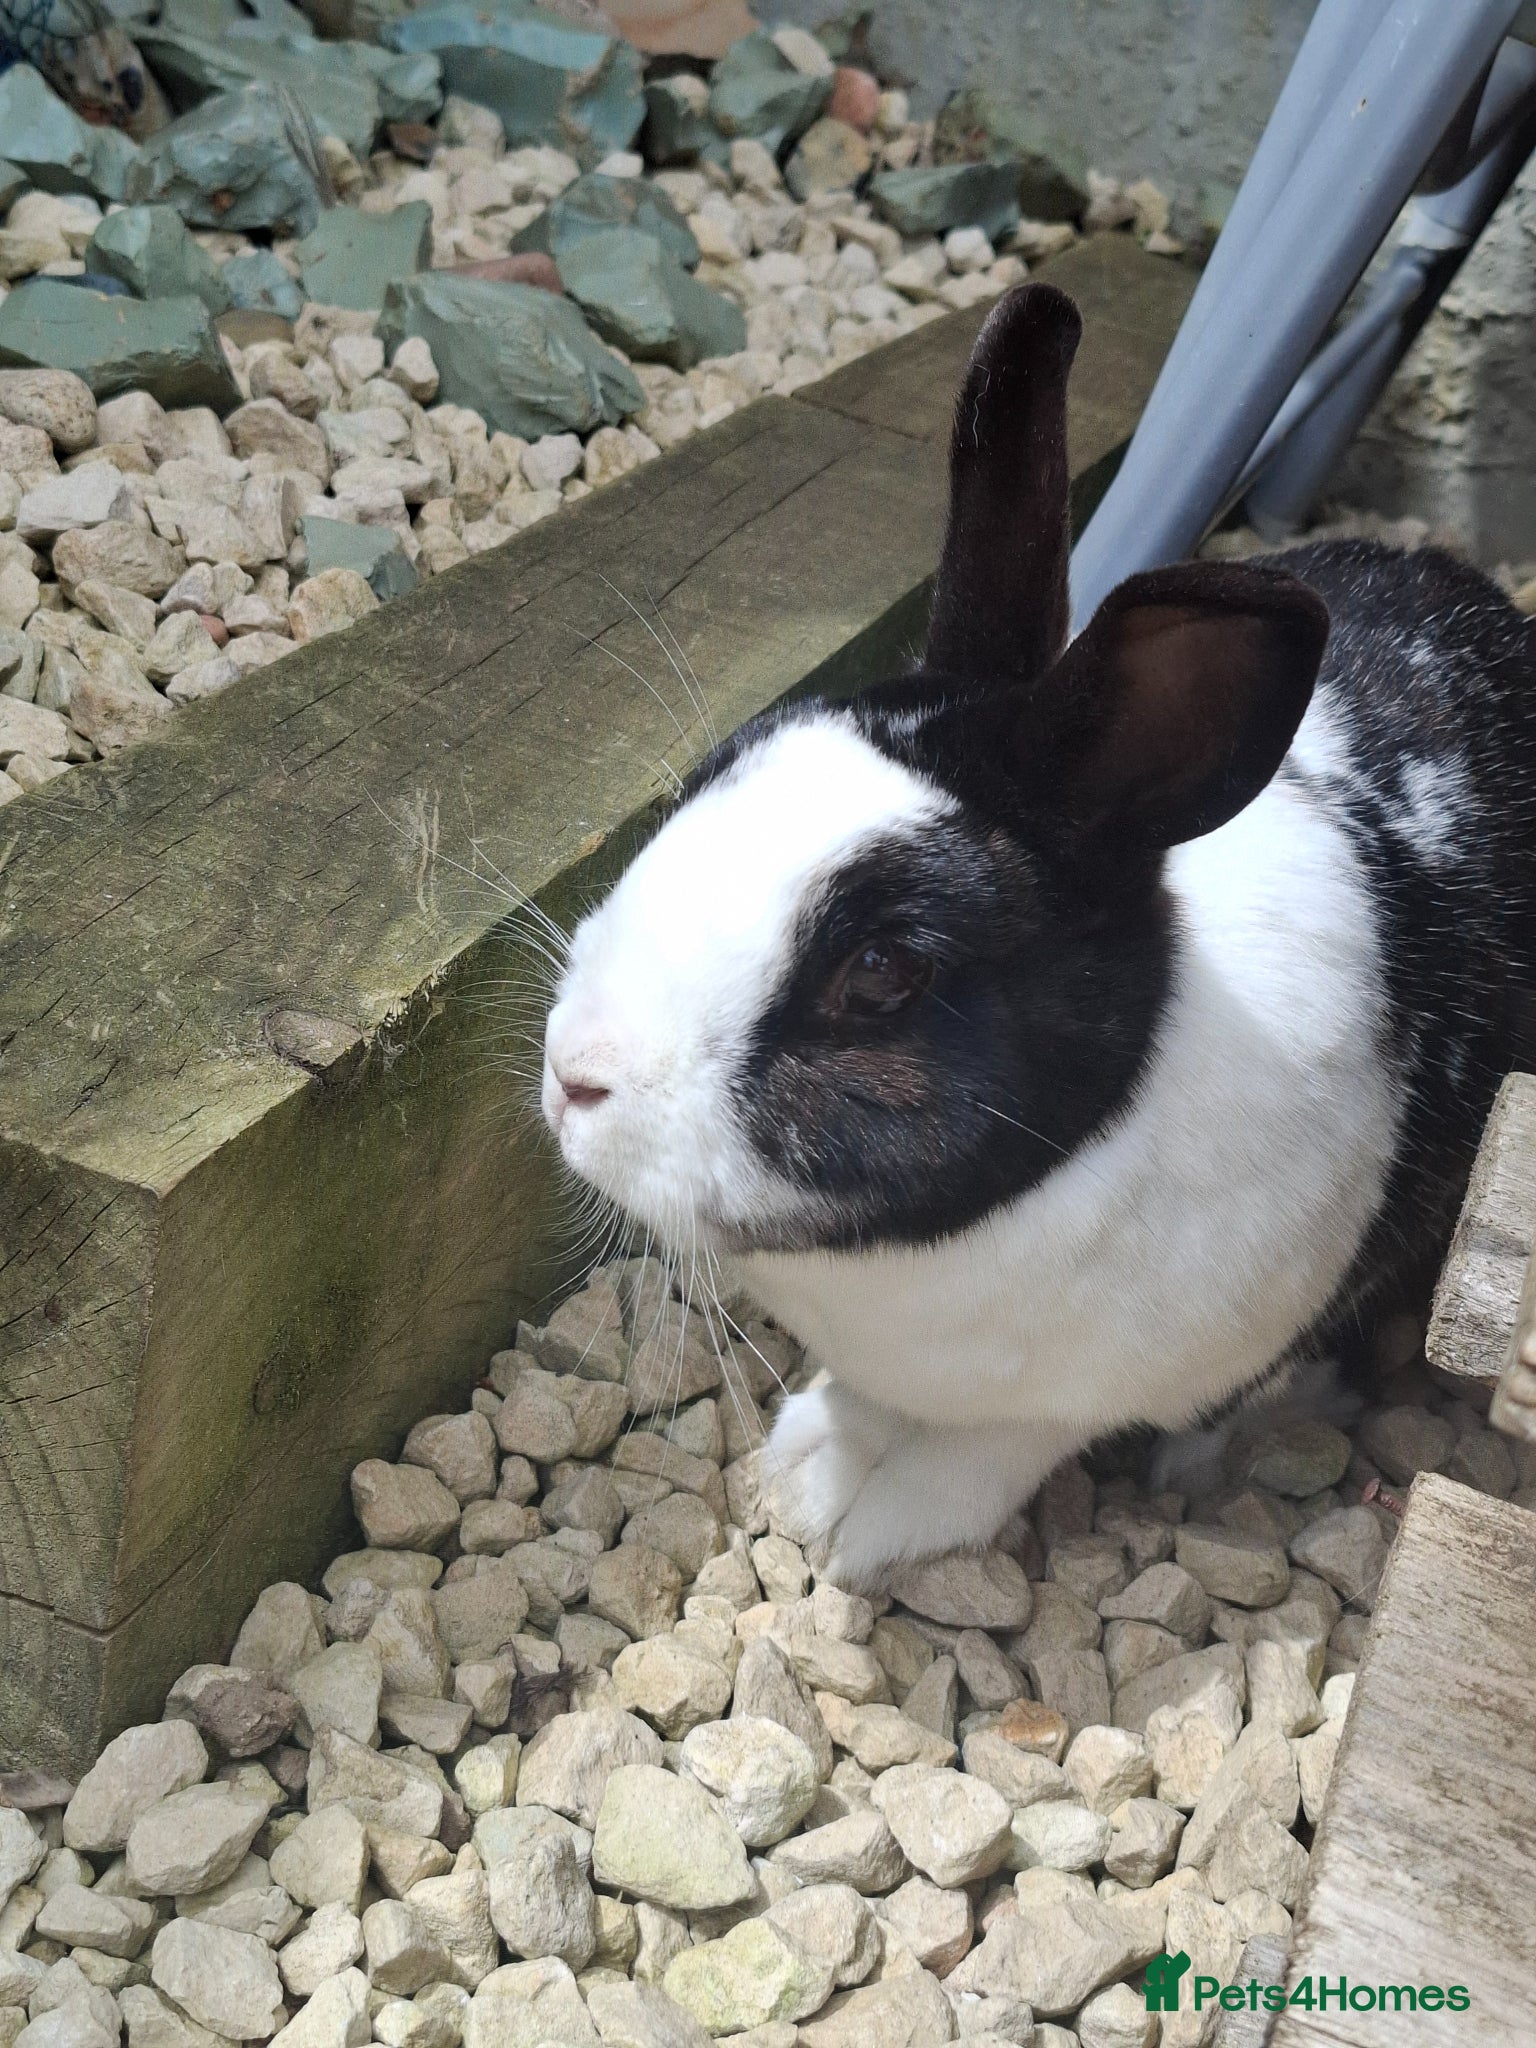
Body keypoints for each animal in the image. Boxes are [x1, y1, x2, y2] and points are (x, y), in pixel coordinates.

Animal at [541, 282, 1536, 1586]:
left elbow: (986, 1453)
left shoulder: (1072, 1398)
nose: (574, 1074)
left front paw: (868, 1530)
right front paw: (805, 1471)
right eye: (714, 776)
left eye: (884, 970)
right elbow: (864, 1406)